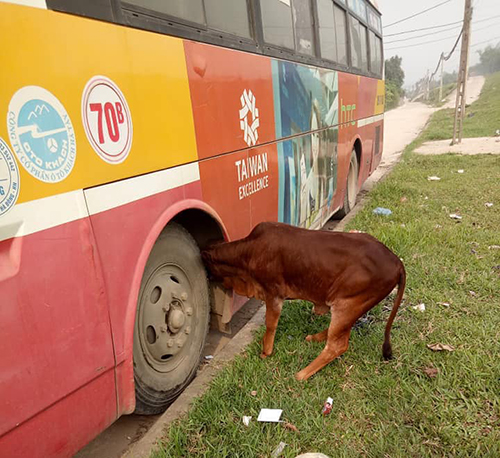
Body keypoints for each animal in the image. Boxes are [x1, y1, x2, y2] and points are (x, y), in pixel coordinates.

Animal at [201, 221, 404, 380]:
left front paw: (266, 351)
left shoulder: (273, 293)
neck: (248, 252)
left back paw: (301, 374)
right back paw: (315, 337)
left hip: (347, 304)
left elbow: (270, 324)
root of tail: (397, 262)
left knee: (337, 345)